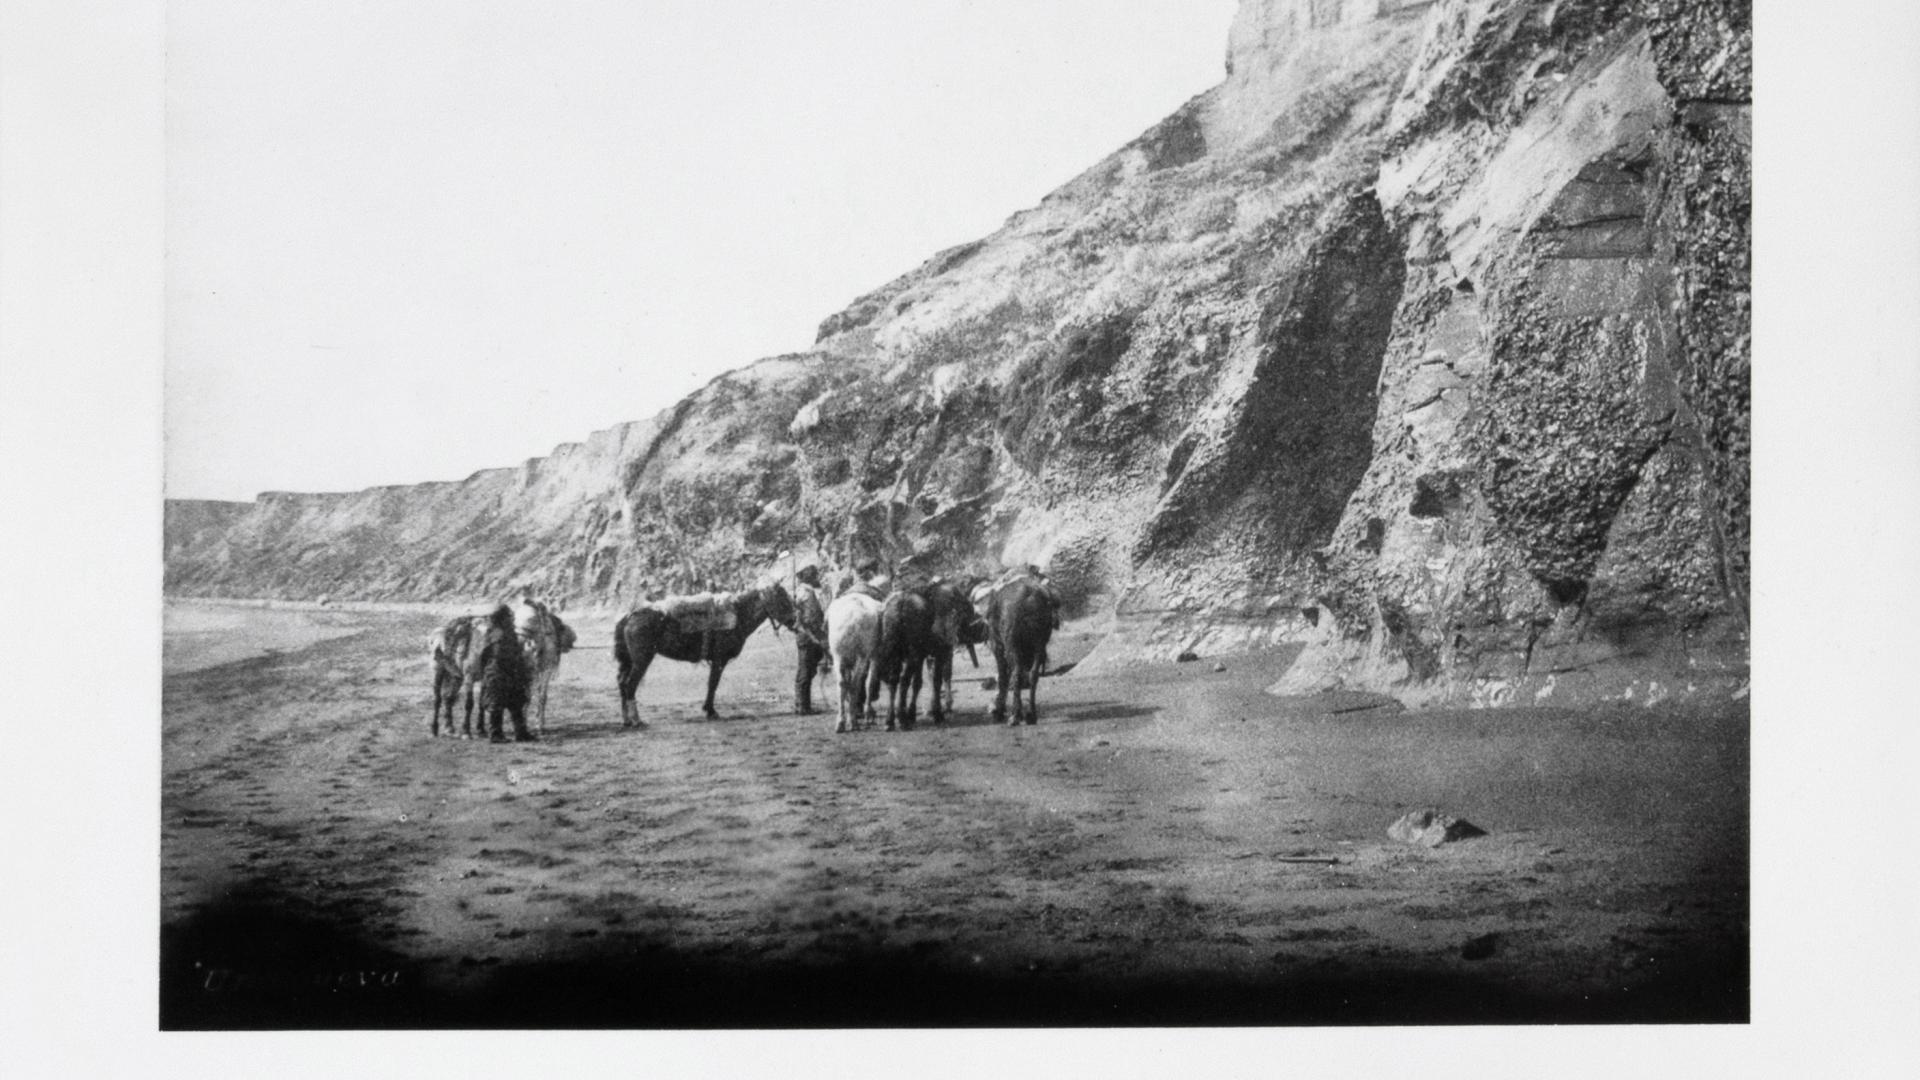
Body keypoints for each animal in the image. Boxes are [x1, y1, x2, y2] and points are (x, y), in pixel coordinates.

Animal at [614, 580, 794, 722]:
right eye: (782, 599)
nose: (794, 621)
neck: (738, 615)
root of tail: (630, 616)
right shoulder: (719, 660)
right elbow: (713, 683)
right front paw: (711, 711)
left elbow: (711, 683)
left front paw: (709, 710)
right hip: (642, 661)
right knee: (630, 685)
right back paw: (636, 720)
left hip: (630, 661)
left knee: (623, 684)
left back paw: (627, 721)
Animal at [825, 588, 883, 730]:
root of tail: (853, 616)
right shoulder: (875, 655)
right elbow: (870, 682)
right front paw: (868, 715)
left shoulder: (847, 661)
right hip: (862, 656)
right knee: (856, 683)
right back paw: (854, 722)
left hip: (838, 655)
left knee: (842, 683)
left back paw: (841, 722)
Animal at [990, 576, 1067, 718]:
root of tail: (1029, 596)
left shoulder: (998, 646)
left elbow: (1004, 677)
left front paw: (999, 709)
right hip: (1039, 645)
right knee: (1033, 674)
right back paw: (1031, 713)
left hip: (1012, 645)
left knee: (1016, 674)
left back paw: (1015, 715)